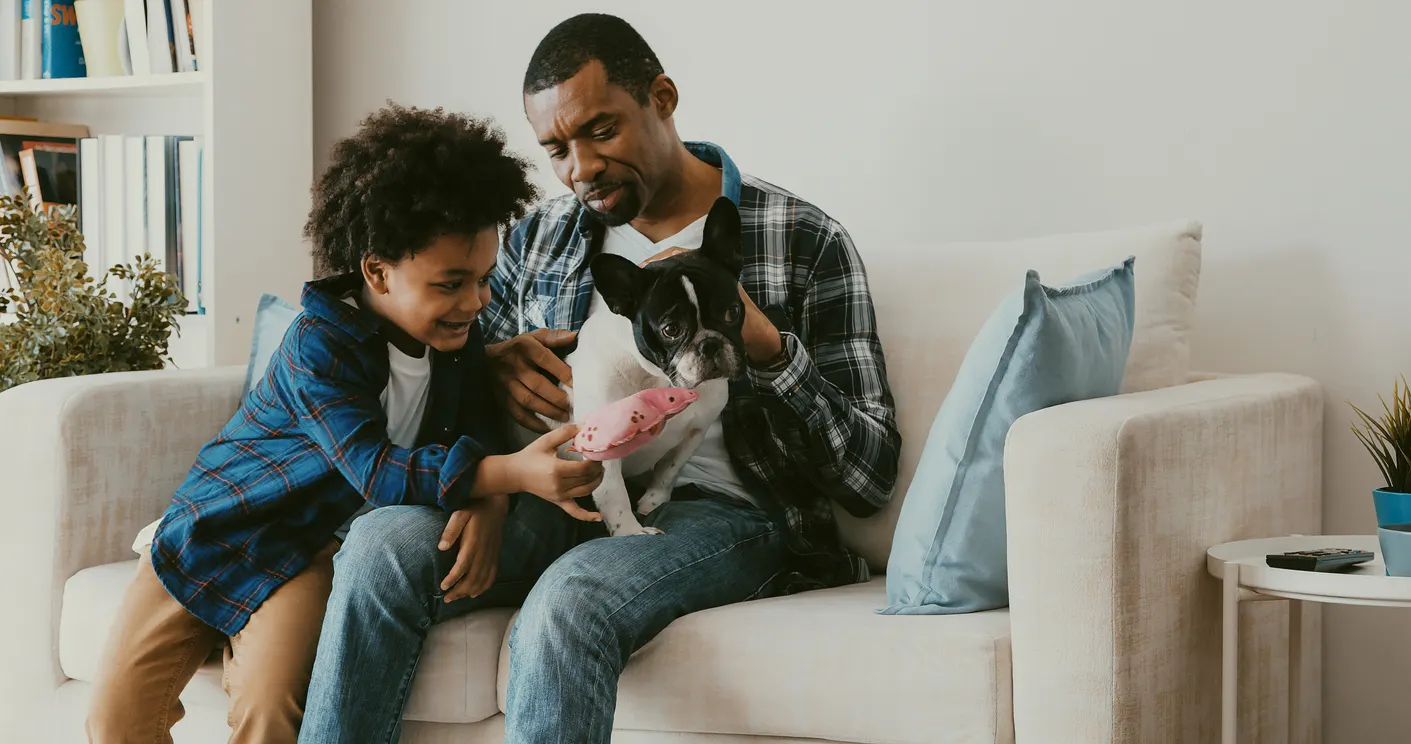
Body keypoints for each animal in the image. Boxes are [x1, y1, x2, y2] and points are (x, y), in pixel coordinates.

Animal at [530, 196, 750, 536]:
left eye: (733, 312)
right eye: (670, 329)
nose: (710, 344)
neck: (660, 380)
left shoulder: (694, 432)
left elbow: (669, 469)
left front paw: (653, 502)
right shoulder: (601, 452)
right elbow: (613, 491)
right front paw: (630, 533)